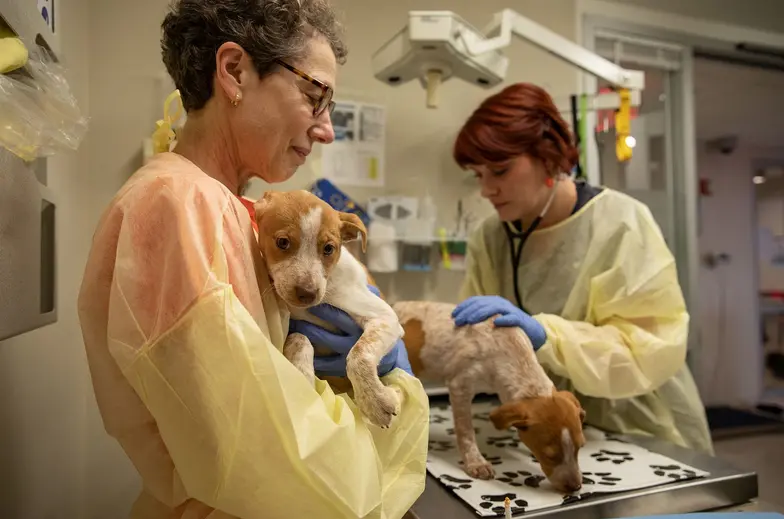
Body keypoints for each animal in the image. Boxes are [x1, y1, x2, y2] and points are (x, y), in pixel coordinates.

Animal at [256, 190, 404, 426]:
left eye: (328, 249)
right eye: (282, 242)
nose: (307, 293)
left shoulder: (385, 316)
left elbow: (358, 354)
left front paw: (374, 400)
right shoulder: (295, 324)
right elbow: (299, 338)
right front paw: (303, 375)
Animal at [396, 298, 584, 494]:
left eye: (580, 448)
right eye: (550, 456)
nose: (575, 487)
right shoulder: (460, 386)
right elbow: (466, 432)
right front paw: (476, 462)